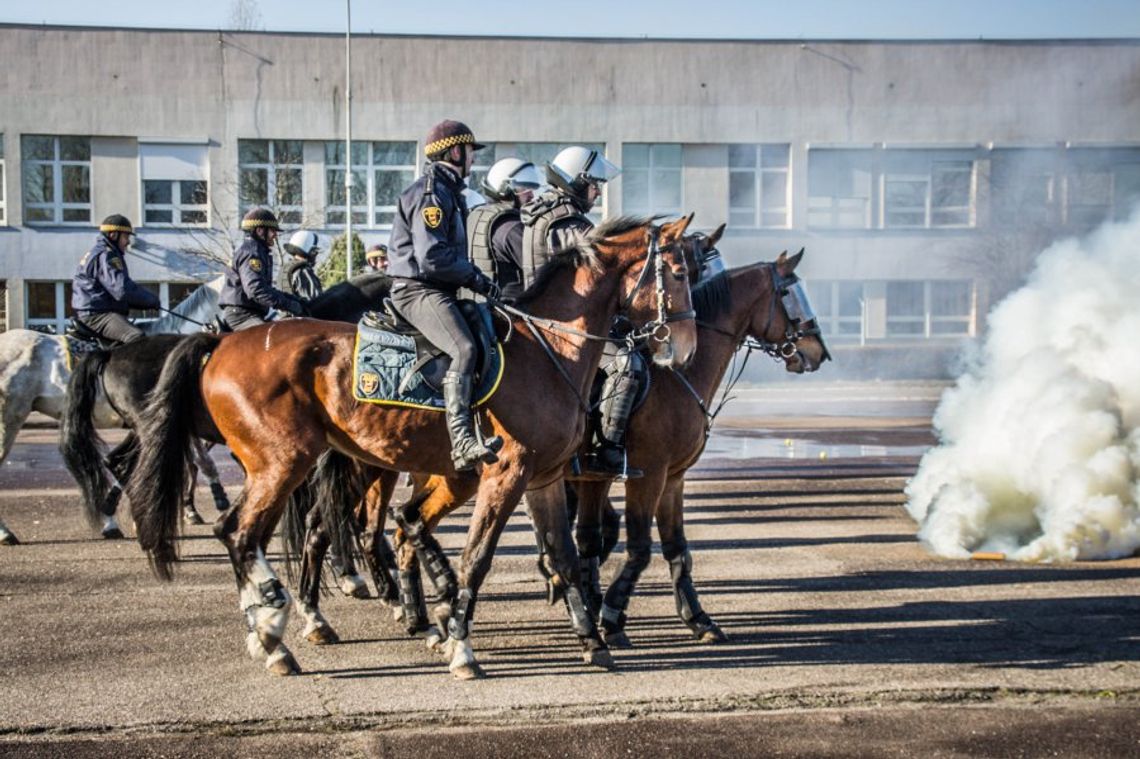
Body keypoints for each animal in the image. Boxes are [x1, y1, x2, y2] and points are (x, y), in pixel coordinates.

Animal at [124, 213, 693, 674]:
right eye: (680, 272)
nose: (683, 348)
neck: (551, 348)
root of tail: (219, 342)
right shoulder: (506, 473)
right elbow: (477, 557)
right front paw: (460, 644)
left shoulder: (545, 478)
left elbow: (564, 555)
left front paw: (592, 640)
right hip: (285, 463)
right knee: (246, 534)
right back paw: (279, 633)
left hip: (304, 465)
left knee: (267, 532)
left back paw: (280, 624)